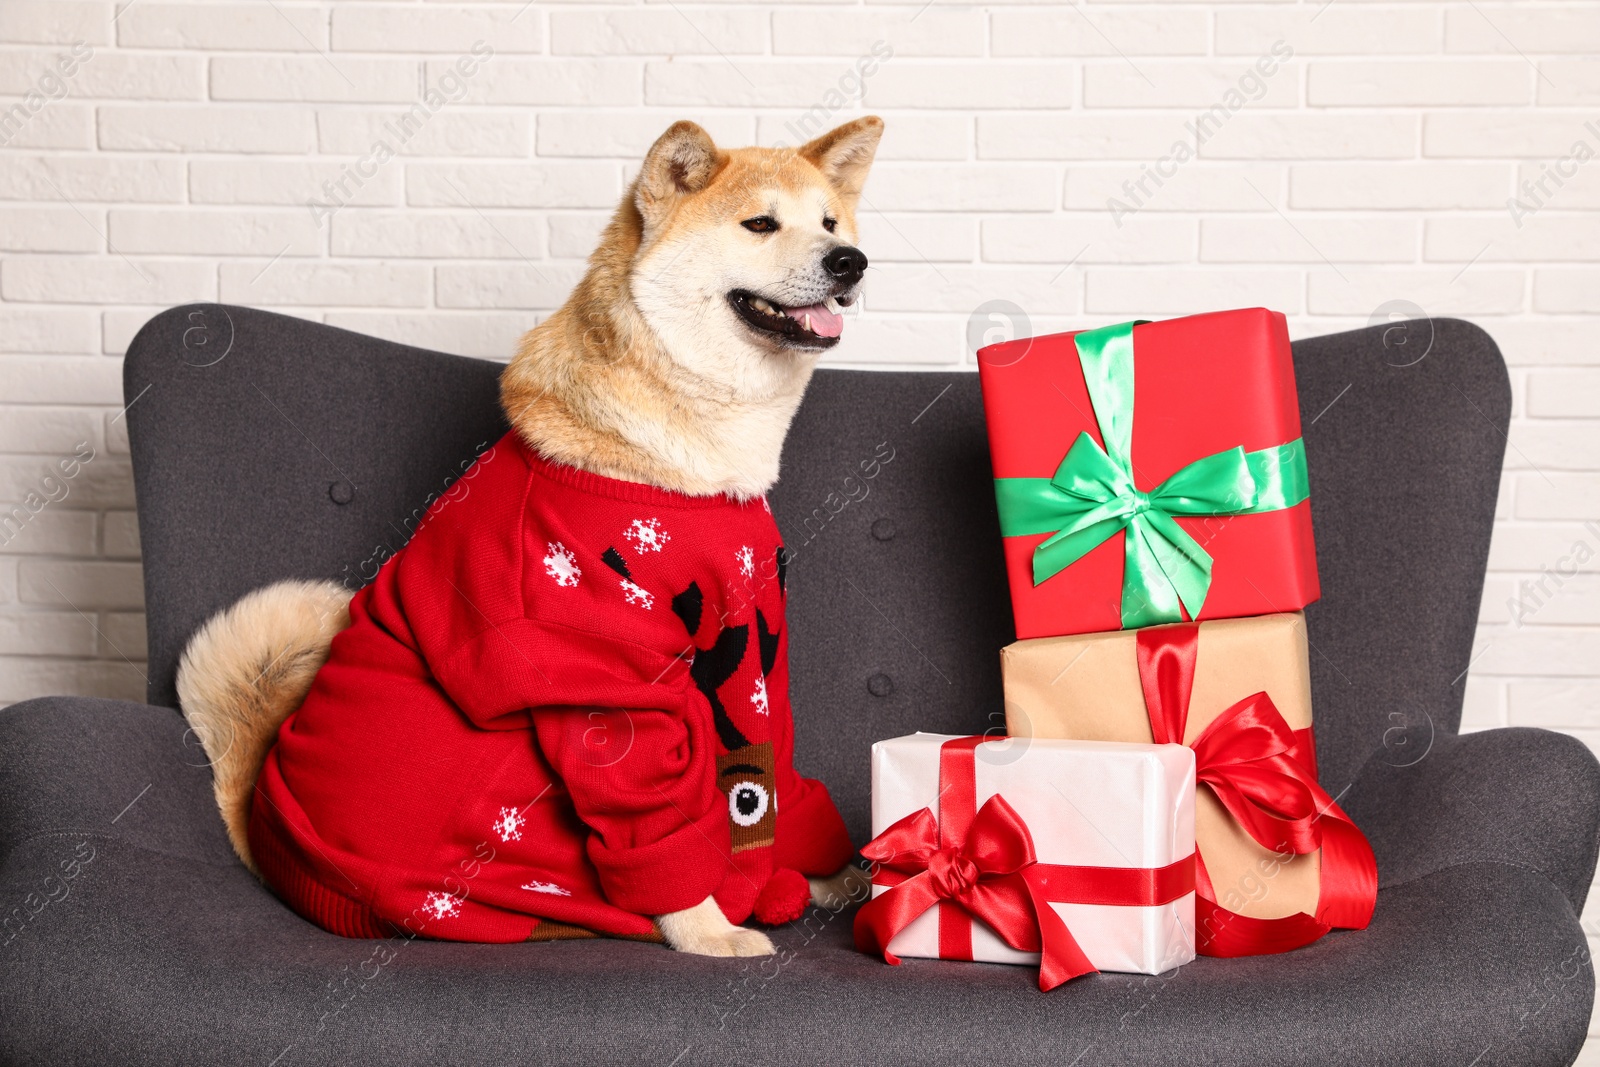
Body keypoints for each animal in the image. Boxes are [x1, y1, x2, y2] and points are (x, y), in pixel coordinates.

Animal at [181, 116, 896, 959]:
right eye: (760, 224)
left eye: (831, 223)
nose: (849, 262)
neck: (686, 465)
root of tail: (266, 837)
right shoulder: (603, 665)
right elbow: (658, 805)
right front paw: (707, 927)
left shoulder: (753, 632)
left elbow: (771, 752)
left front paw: (825, 873)